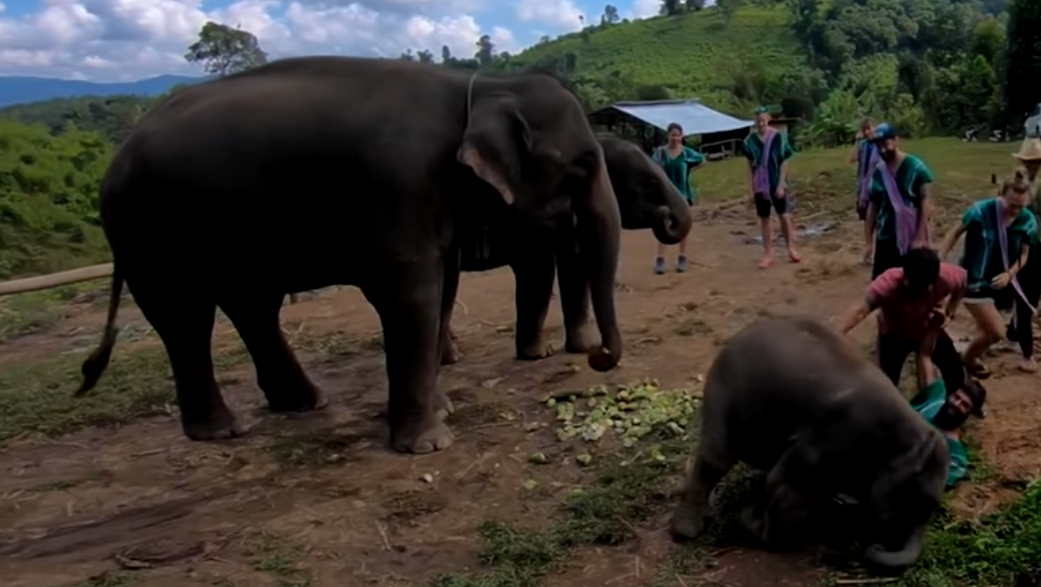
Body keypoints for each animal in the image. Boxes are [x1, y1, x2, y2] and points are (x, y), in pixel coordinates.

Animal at [74, 56, 624, 454]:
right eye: (581, 167)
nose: (597, 358)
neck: (479, 87)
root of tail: (115, 159)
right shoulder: (399, 188)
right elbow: (413, 295)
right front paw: (430, 444)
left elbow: (441, 288)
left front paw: (441, 409)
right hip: (148, 235)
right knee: (186, 318)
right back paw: (222, 432)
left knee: (252, 306)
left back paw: (304, 403)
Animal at [440, 134, 693, 364]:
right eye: (650, 182)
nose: (664, 214)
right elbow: (539, 269)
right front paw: (541, 354)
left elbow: (575, 265)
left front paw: (583, 347)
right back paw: (452, 356)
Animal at [670, 316, 948, 574]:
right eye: (918, 502)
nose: (876, 545)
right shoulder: (829, 441)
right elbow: (783, 488)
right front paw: (748, 517)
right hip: (722, 393)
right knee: (716, 457)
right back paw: (686, 531)